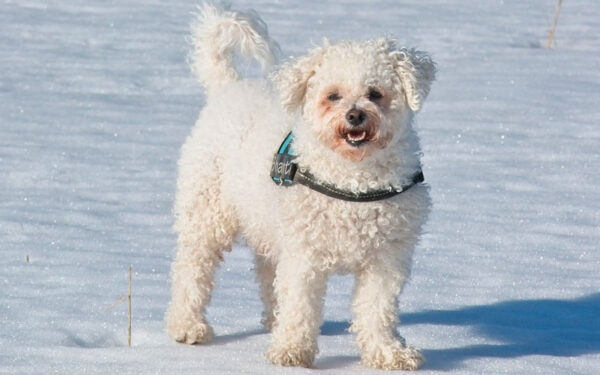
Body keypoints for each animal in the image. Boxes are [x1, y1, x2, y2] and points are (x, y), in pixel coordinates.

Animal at [166, 2, 434, 372]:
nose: (355, 116)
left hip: (266, 223)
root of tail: (229, 87)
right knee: (193, 269)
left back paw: (270, 321)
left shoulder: (386, 259)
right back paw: (188, 325)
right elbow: (300, 305)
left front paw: (388, 353)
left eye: (375, 94)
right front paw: (292, 351)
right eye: (332, 95)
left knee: (267, 272)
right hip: (207, 213)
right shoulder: (304, 255)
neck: (353, 180)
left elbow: (378, 310)